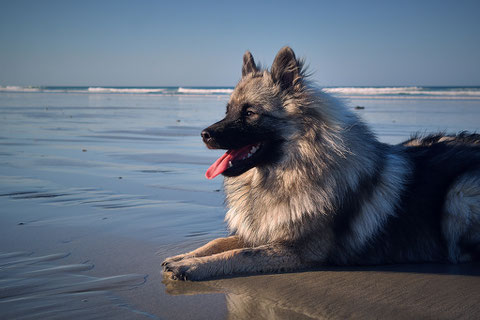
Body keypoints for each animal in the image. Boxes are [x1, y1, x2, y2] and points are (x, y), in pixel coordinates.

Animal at [162, 47, 480, 280]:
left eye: (250, 113)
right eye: (227, 111)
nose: (204, 134)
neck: (294, 170)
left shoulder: (297, 250)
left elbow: (239, 253)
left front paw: (190, 266)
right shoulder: (265, 232)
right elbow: (218, 243)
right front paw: (184, 256)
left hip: (460, 192)